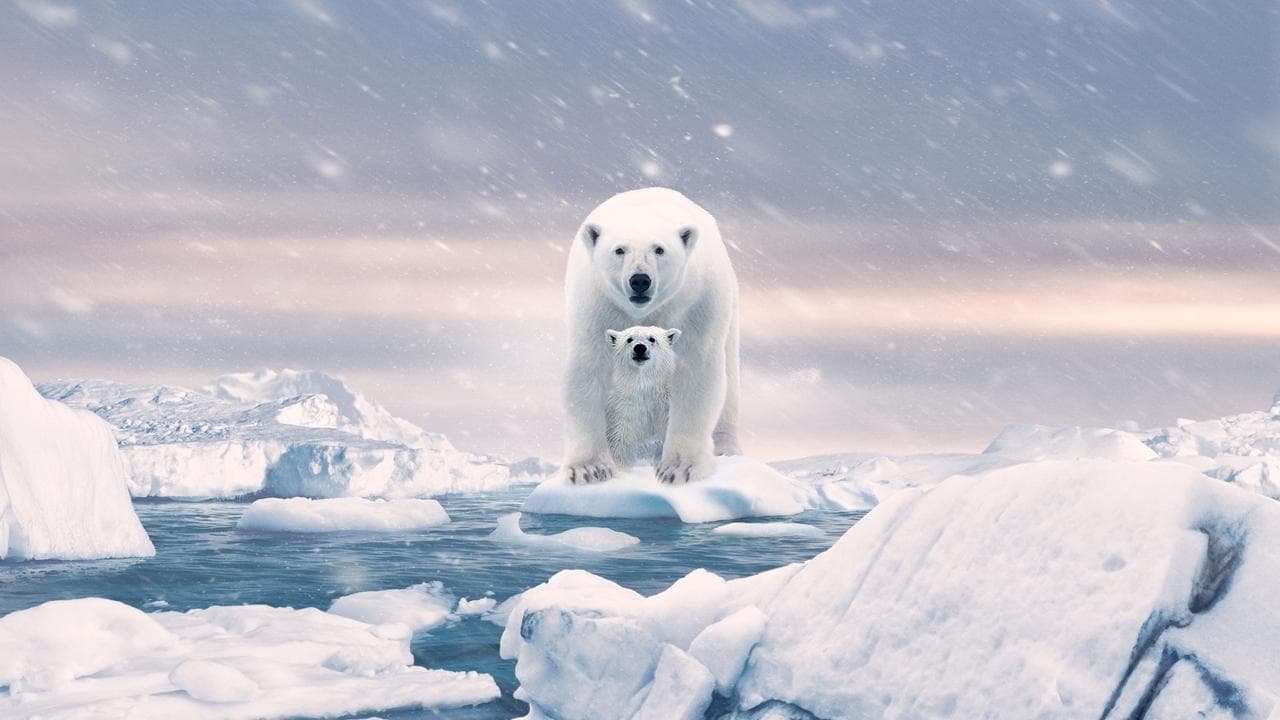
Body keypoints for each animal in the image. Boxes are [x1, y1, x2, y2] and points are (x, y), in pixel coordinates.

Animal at [604, 326, 681, 468]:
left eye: (652, 338)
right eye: (629, 339)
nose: (640, 347)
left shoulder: (666, 402)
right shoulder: (625, 404)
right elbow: (621, 436)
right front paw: (622, 466)